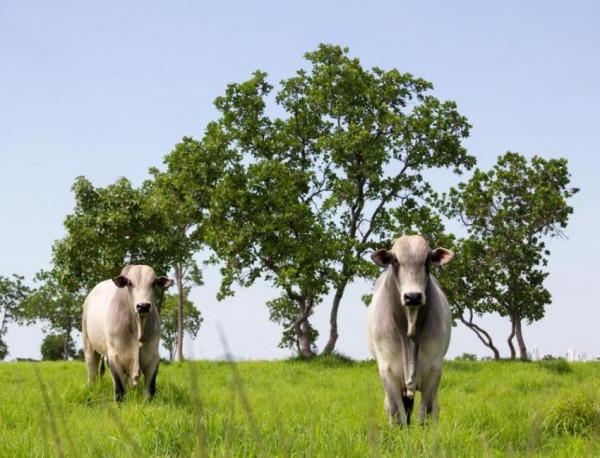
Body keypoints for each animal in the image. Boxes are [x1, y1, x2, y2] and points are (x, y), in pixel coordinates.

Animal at [81, 264, 172, 400]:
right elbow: (119, 390)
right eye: (130, 283)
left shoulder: (154, 357)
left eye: (153, 283)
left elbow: (149, 390)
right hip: (88, 345)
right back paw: (92, 389)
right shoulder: (114, 357)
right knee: (92, 370)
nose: (143, 306)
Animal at [366, 236, 454, 426]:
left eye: (427, 260)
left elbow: (426, 412)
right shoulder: (387, 370)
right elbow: (396, 412)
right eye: (395, 260)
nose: (413, 296)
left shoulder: (434, 369)